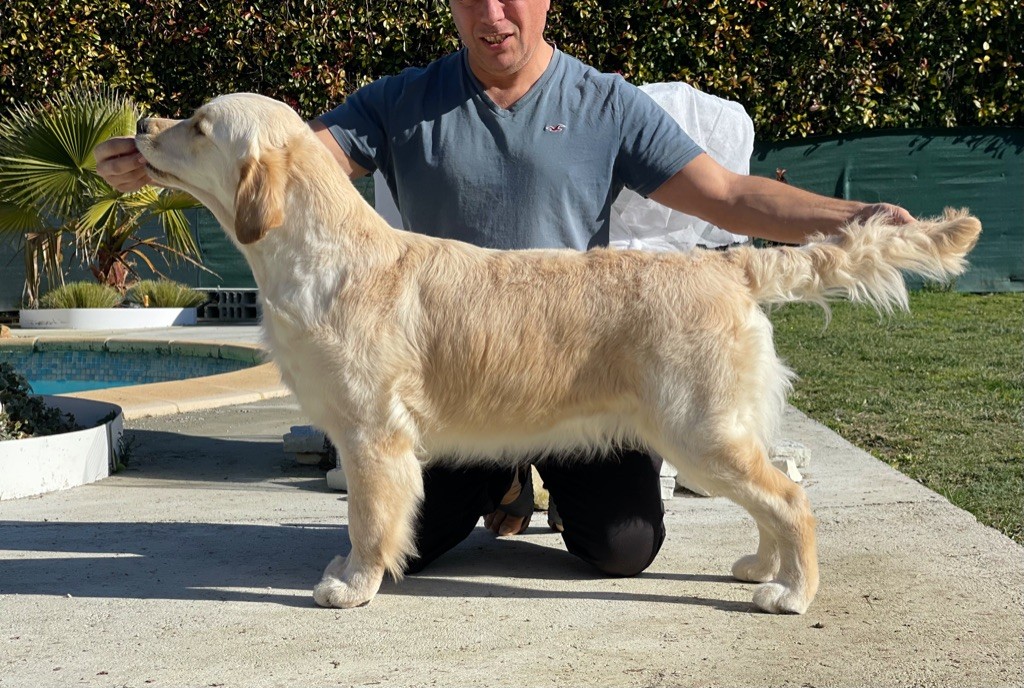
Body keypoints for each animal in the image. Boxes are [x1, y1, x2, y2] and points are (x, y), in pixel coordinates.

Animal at [132, 91, 978, 614]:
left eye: (199, 125)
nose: (138, 124)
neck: (322, 254)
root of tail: (727, 263)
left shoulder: (374, 435)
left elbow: (368, 520)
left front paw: (354, 586)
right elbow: (358, 521)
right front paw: (346, 572)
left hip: (699, 433)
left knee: (792, 501)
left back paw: (792, 594)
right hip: (715, 434)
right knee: (773, 498)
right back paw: (762, 568)